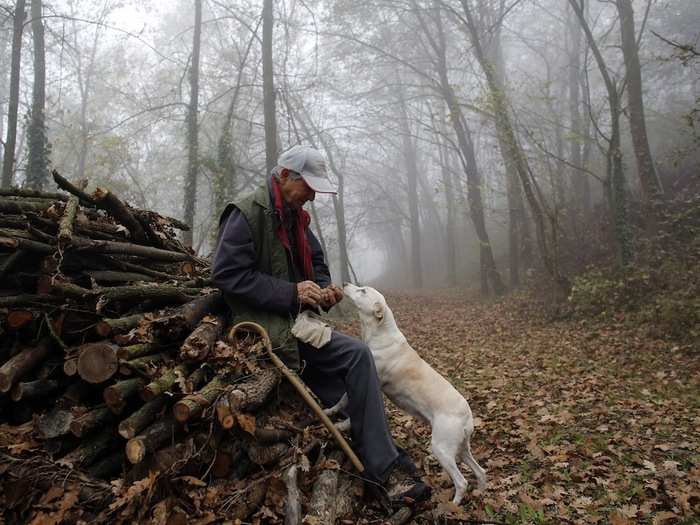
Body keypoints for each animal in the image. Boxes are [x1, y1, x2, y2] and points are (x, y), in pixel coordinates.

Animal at [326, 282, 486, 504]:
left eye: (363, 291)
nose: (344, 284)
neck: (379, 333)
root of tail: (468, 417)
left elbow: (348, 402)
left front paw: (339, 423)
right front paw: (330, 412)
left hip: (441, 448)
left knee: (462, 482)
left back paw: (453, 505)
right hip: (461, 449)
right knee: (481, 472)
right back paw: (480, 493)